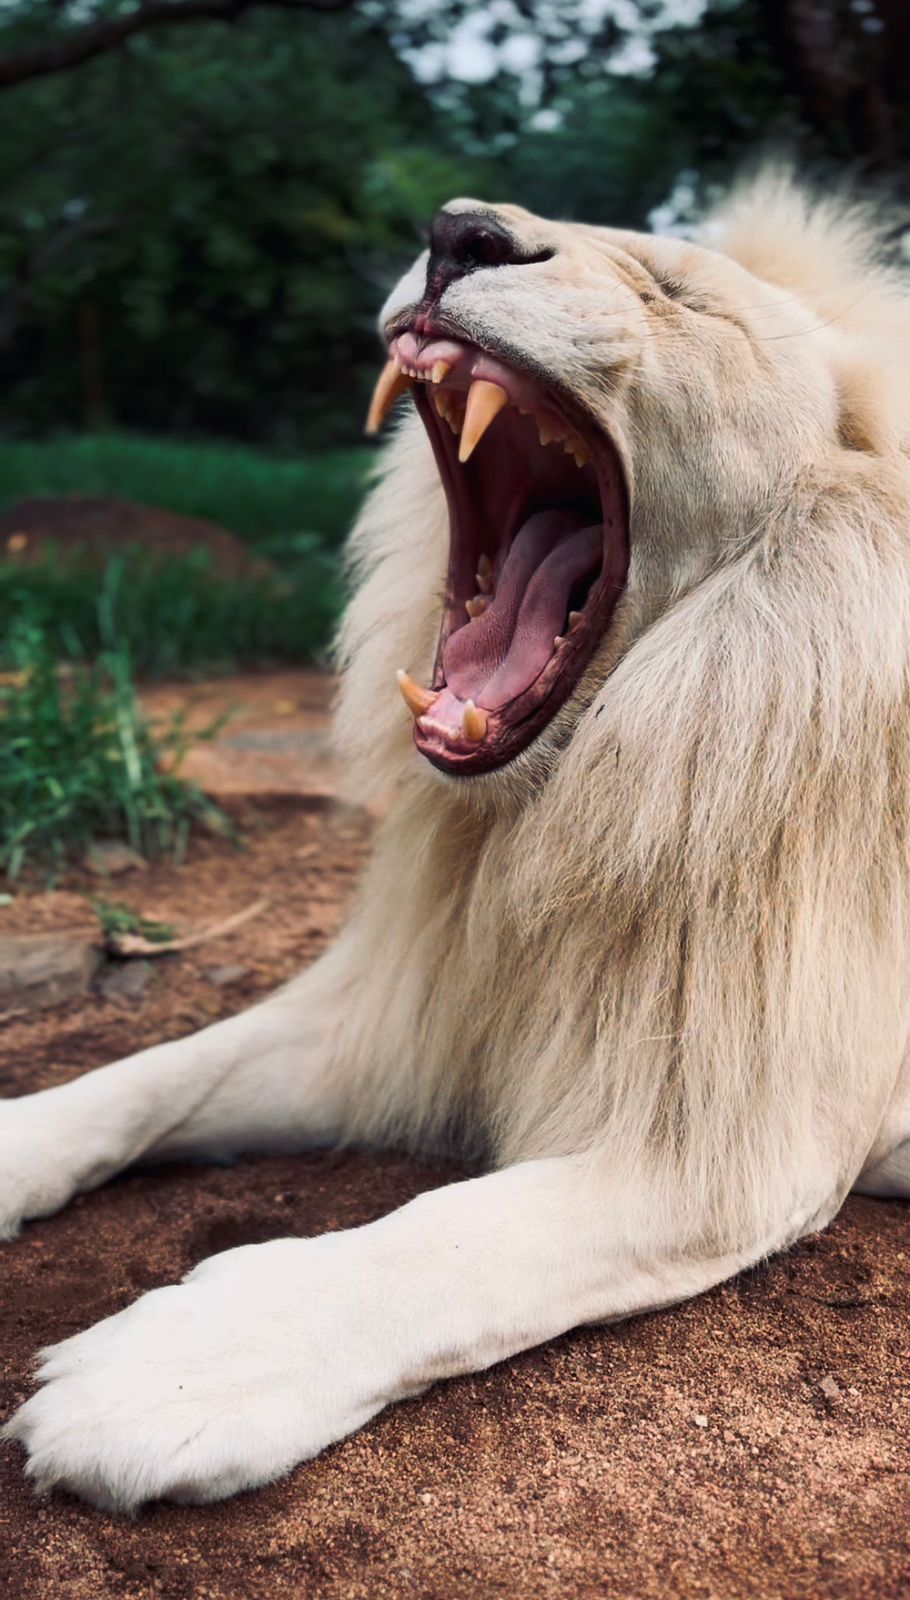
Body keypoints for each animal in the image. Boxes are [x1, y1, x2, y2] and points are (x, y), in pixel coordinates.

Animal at [3, 170, 910, 1512]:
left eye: (674, 294)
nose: (458, 232)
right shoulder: (397, 1016)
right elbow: (150, 1075)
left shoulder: (732, 1148)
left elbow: (454, 1239)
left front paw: (175, 1374)